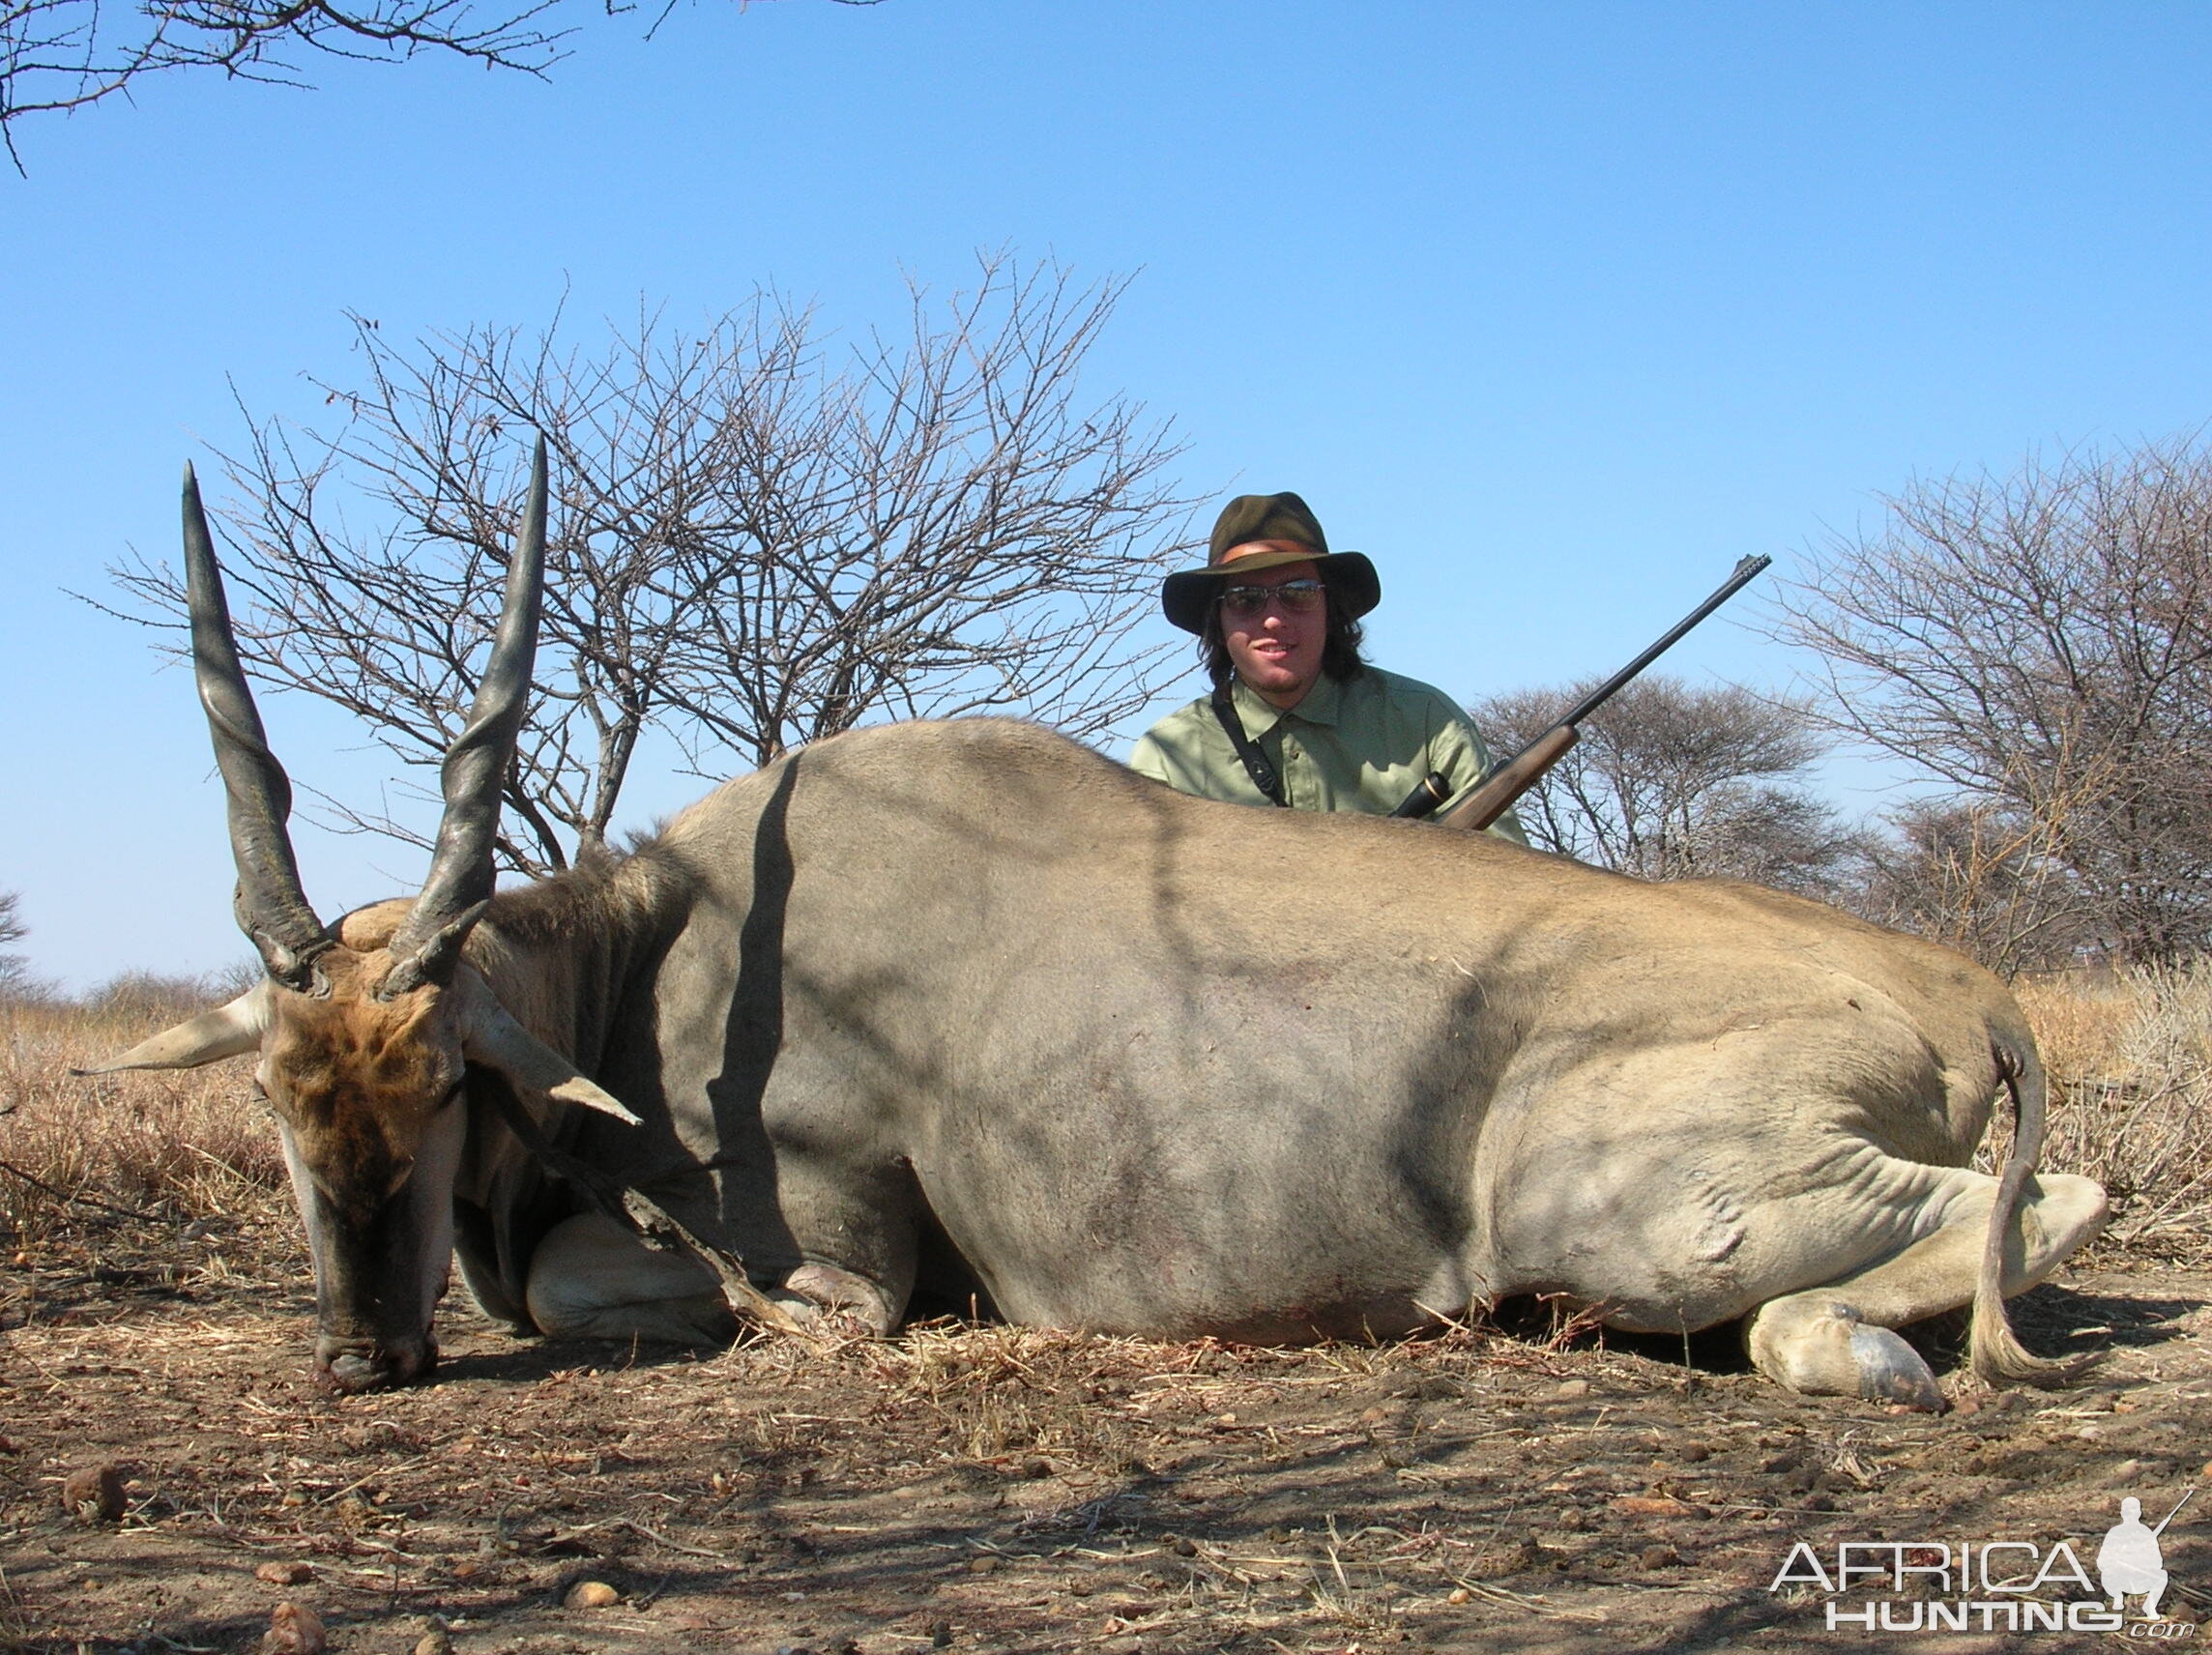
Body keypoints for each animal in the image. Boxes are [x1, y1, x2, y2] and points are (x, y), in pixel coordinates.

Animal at [95, 447, 2114, 1407]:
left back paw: (1844, 1351)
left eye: (442, 1080)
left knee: (2034, 1215)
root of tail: (1956, 995)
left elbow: (666, 1295)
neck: (658, 944)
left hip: (1624, 1206)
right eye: (279, 1096)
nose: (357, 1350)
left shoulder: (833, 1272)